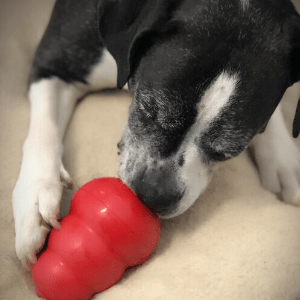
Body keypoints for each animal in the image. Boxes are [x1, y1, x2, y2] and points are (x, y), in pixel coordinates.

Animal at [12, 0, 300, 270]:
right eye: (148, 109)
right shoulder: (55, 65)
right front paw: (35, 198)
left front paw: (283, 157)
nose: (154, 196)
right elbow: (44, 130)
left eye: (226, 152)